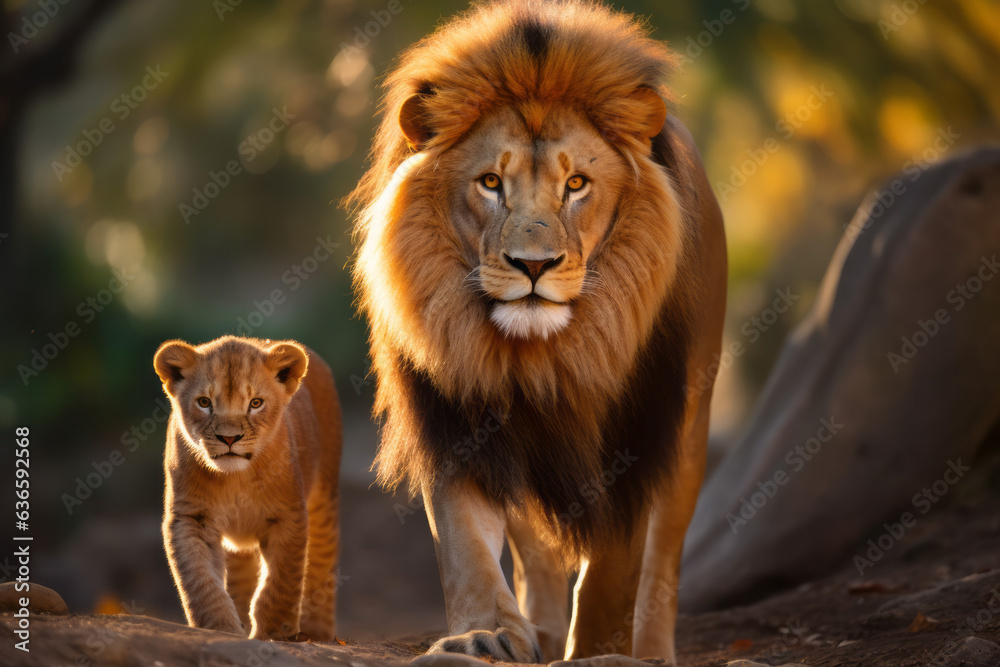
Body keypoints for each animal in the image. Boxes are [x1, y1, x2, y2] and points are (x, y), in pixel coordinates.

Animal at [154, 336, 342, 641]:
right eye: (204, 402)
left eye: (255, 403)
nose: (229, 438)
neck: (235, 479)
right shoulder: (191, 517)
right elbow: (201, 580)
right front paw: (220, 628)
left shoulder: (288, 516)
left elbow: (281, 584)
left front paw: (275, 633)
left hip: (325, 499)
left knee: (323, 565)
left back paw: (319, 635)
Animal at [350, 0, 726, 662]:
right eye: (490, 183)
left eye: (576, 184)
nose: (533, 265)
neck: (542, 356)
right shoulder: (457, 417)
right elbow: (465, 544)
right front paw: (484, 635)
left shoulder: (637, 429)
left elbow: (616, 565)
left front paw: (600, 646)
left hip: (691, 425)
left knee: (665, 554)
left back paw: (650, 648)